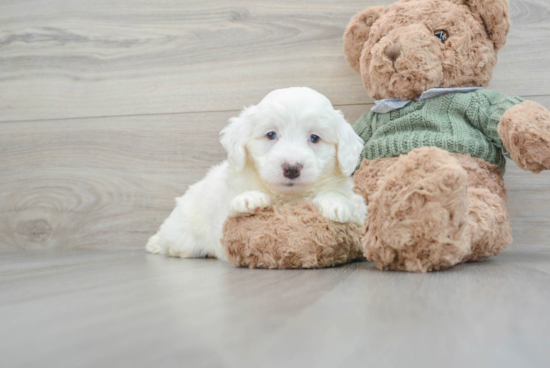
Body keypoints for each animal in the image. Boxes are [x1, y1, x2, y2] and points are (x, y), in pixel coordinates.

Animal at [147, 86, 370, 260]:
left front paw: (336, 203)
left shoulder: (360, 211)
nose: (291, 168)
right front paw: (248, 198)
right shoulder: (222, 222)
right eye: (271, 134)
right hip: (183, 232)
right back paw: (156, 244)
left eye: (314, 138)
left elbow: (342, 199)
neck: (287, 196)